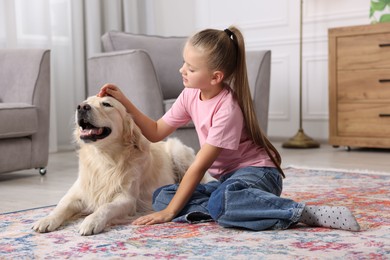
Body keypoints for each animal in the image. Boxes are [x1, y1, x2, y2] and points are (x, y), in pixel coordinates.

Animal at [32, 95, 198, 236]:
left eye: (107, 104)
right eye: (85, 102)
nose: (81, 107)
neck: (103, 158)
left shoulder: (127, 199)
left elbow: (106, 207)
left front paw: (91, 221)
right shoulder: (78, 193)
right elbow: (61, 206)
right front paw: (46, 220)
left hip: (178, 151)